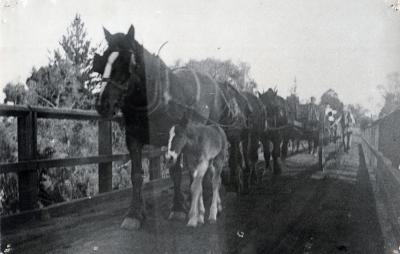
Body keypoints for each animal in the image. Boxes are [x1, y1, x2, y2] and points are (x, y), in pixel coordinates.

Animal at [92, 24, 258, 229]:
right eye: (103, 60)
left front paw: (178, 208)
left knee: (217, 167)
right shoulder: (133, 139)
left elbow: (176, 172)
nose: (102, 104)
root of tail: (218, 85)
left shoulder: (172, 138)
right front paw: (134, 214)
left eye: (126, 63)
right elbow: (136, 176)